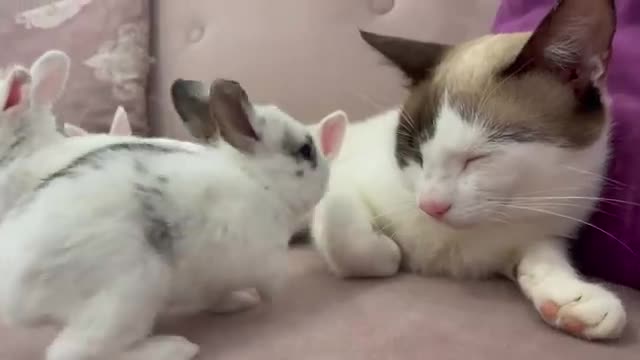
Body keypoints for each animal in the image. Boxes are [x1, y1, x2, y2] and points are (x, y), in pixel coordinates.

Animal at [0, 68, 340, 360]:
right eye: (306, 151)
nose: (327, 175)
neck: (258, 180)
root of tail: (11, 290)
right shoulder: (260, 259)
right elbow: (268, 284)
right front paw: (264, 298)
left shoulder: (212, 277)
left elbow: (216, 296)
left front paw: (238, 302)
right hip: (127, 296)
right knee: (74, 352)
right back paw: (176, 348)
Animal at [312, 0, 628, 340]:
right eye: (416, 153)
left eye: (476, 158)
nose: (430, 206)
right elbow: (344, 228)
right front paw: (388, 251)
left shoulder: (535, 231)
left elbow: (541, 256)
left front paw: (573, 296)